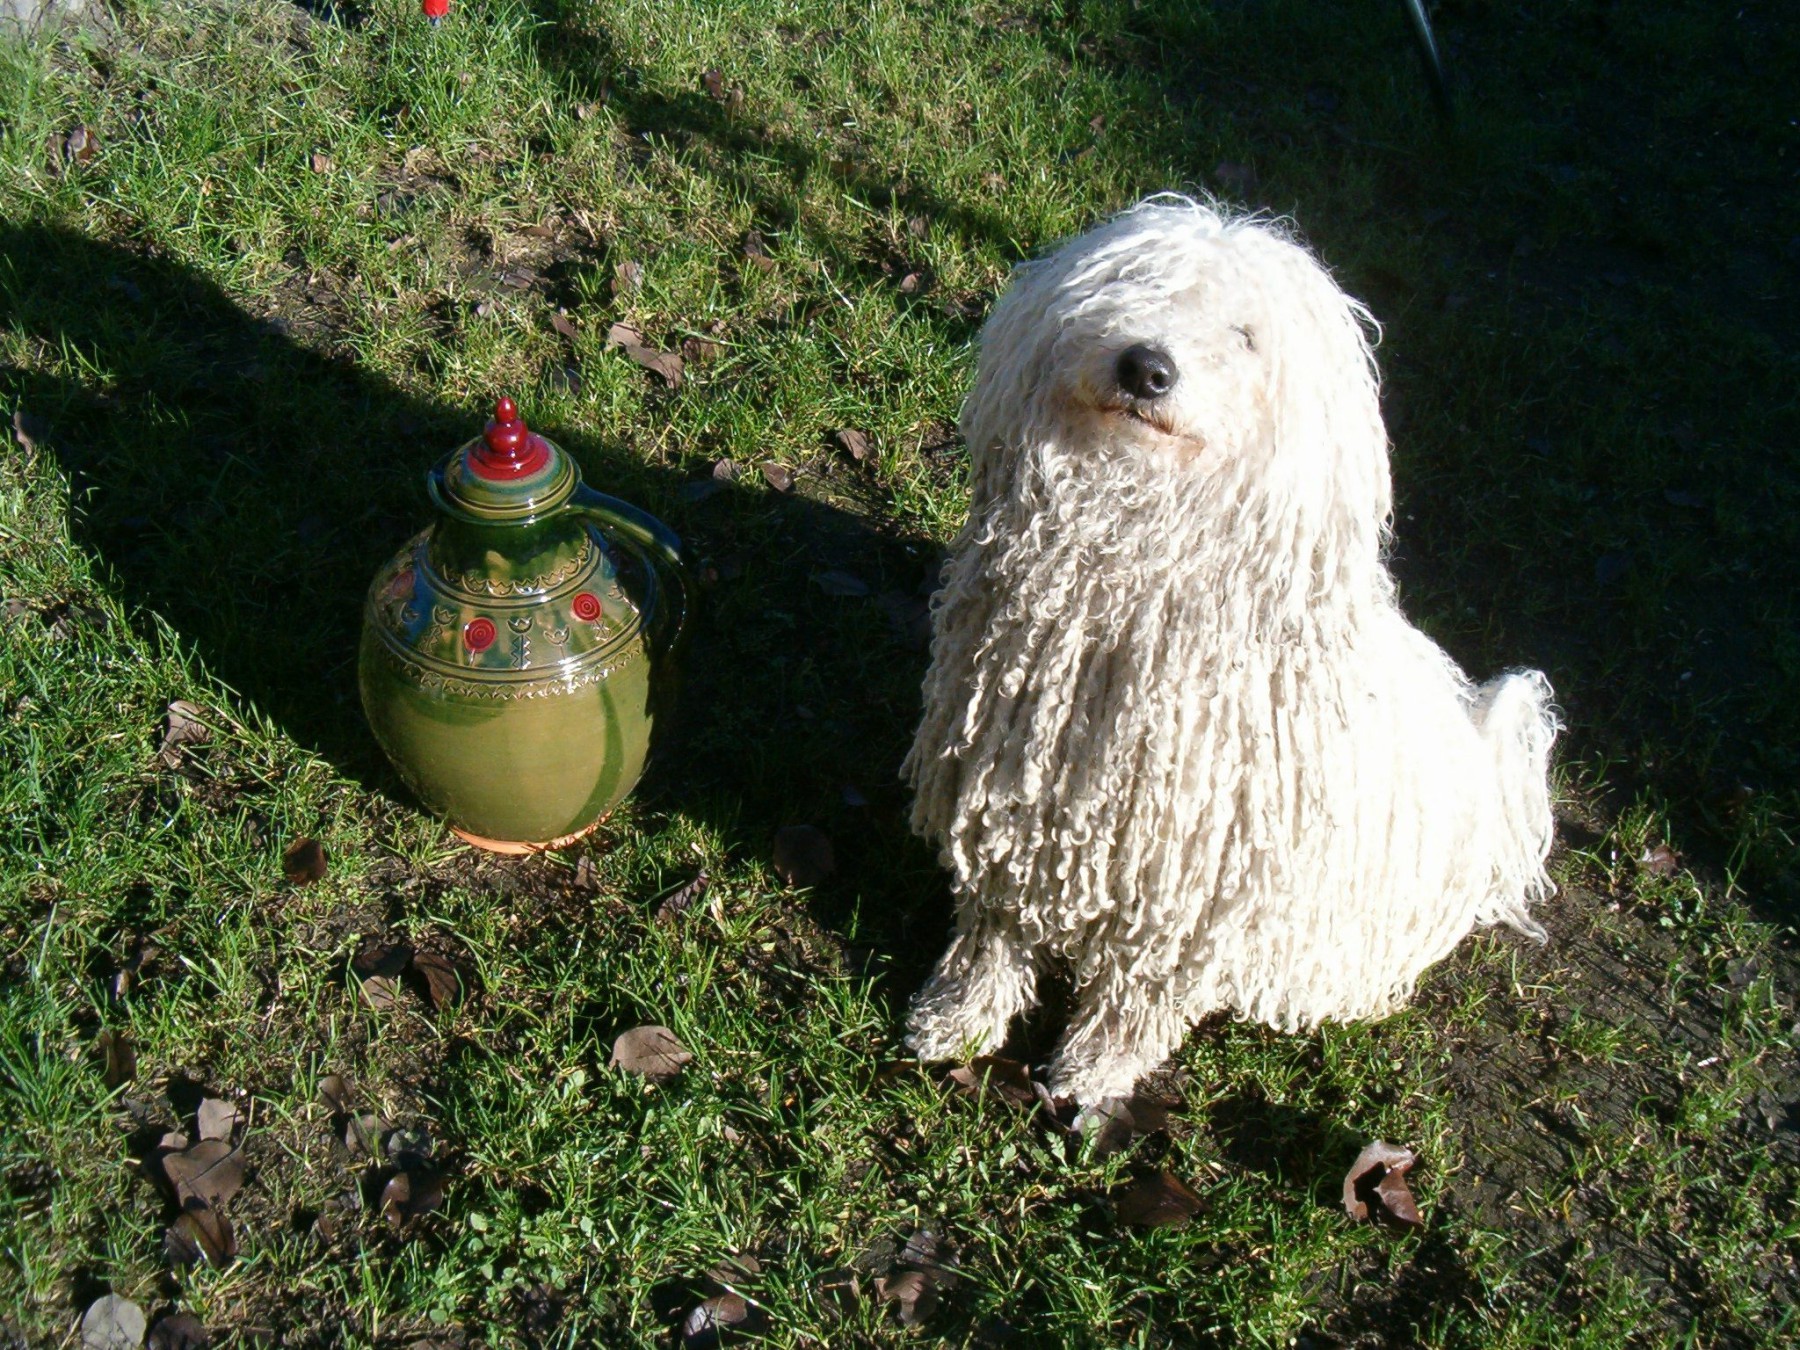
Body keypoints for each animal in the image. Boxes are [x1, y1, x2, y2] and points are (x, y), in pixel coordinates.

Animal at [907, 200, 1555, 1108]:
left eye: (1245, 336)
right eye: (1127, 283)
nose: (1147, 367)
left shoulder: (1197, 880)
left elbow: (1141, 992)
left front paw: (1095, 1071)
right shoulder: (1009, 793)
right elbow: (993, 929)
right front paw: (955, 1018)